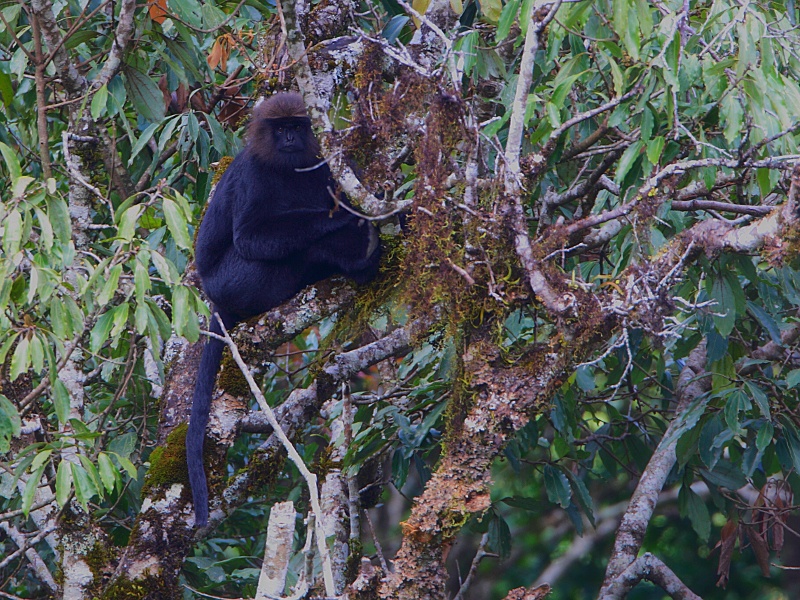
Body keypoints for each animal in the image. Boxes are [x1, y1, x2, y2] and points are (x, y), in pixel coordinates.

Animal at [188, 92, 382, 524]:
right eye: (280, 129)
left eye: (297, 125)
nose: (291, 137)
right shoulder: (253, 175)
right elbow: (251, 238)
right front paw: (346, 218)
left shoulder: (325, 162)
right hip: (234, 281)